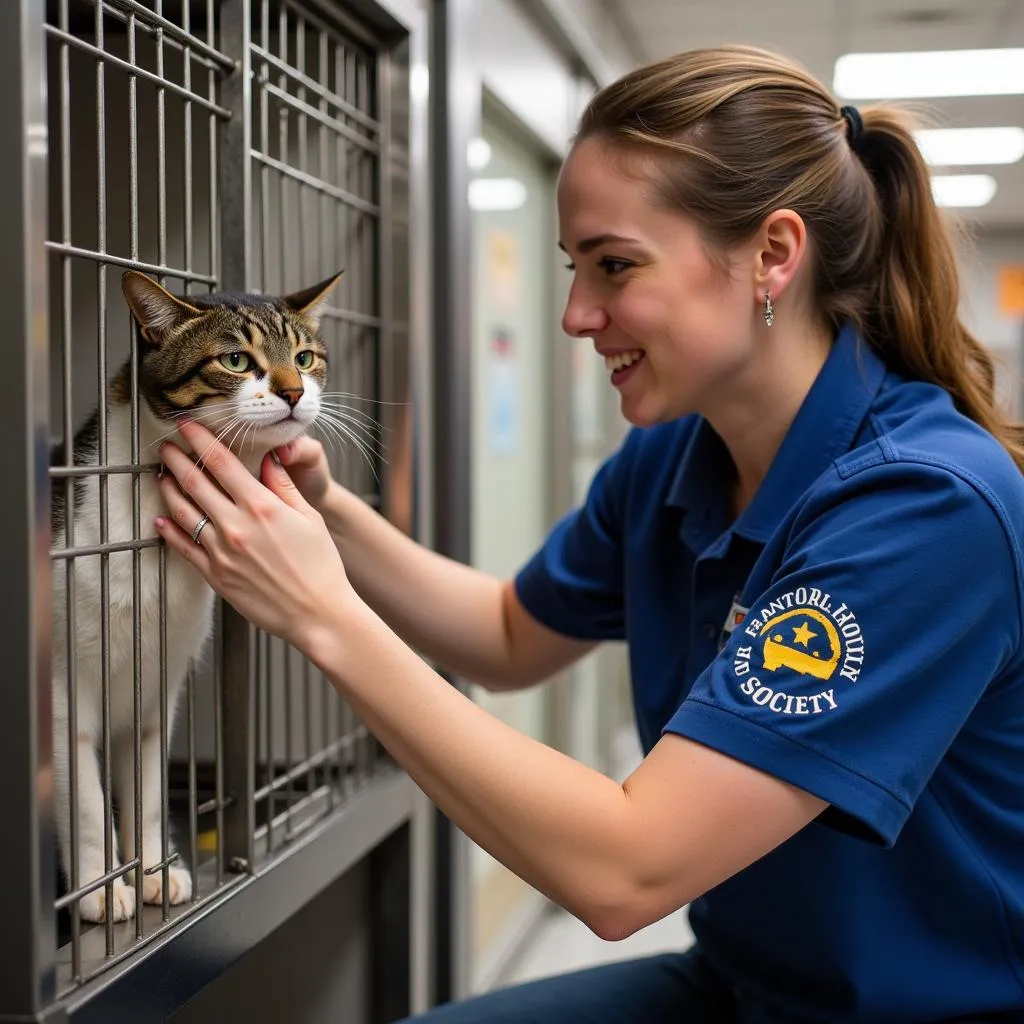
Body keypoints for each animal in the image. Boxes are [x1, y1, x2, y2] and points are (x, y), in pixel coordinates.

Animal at [51, 268, 342, 925]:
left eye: (304, 358)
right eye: (236, 360)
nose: (294, 392)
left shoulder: (159, 687)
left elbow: (149, 792)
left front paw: (155, 871)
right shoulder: (62, 689)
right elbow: (86, 801)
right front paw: (102, 889)